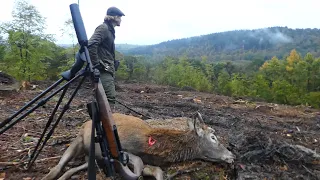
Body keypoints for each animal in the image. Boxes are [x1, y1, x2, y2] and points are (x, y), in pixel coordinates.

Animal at [40, 112, 235, 179]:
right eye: (213, 137)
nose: (232, 156)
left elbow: (157, 171)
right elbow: (138, 164)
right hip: (78, 141)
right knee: (57, 167)